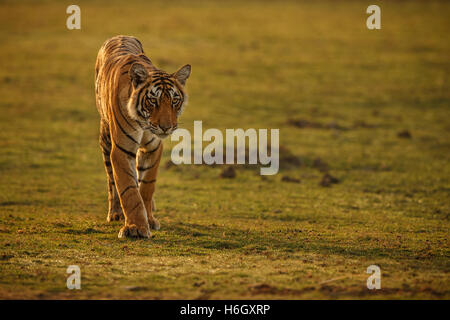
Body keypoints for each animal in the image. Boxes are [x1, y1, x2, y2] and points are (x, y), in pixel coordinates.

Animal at [96, 36, 191, 239]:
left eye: (175, 100)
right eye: (153, 100)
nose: (166, 127)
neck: (144, 123)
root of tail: (120, 36)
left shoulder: (153, 148)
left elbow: (146, 186)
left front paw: (149, 219)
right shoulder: (122, 150)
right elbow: (129, 190)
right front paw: (135, 227)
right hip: (105, 137)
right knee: (111, 180)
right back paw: (115, 213)